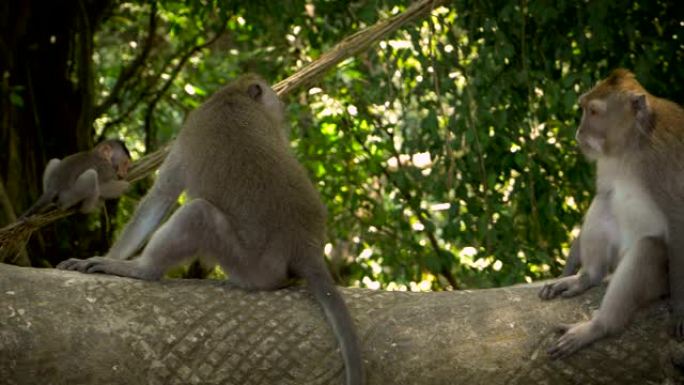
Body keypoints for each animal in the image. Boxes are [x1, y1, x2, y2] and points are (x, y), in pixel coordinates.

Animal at [56, 74, 366, 384]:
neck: (230, 96)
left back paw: (142, 270)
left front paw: (109, 258)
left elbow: (161, 196)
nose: (282, 106)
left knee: (197, 213)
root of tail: (305, 246)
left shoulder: (187, 130)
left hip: (252, 268)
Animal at [536, 68, 684, 356]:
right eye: (583, 108)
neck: (634, 145)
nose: (579, 132)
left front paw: (681, 312)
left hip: (661, 278)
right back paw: (586, 278)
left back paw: (599, 326)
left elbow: (678, 218)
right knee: (604, 202)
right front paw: (568, 268)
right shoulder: (606, 160)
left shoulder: (666, 161)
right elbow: (603, 192)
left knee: (648, 248)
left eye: (593, 112)